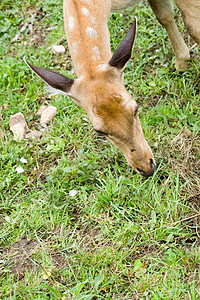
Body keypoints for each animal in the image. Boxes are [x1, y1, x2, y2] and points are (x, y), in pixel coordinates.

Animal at [27, 0, 195, 178]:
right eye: (99, 130)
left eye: (135, 109)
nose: (147, 169)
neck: (109, 5)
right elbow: (164, 15)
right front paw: (182, 63)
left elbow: (191, 26)